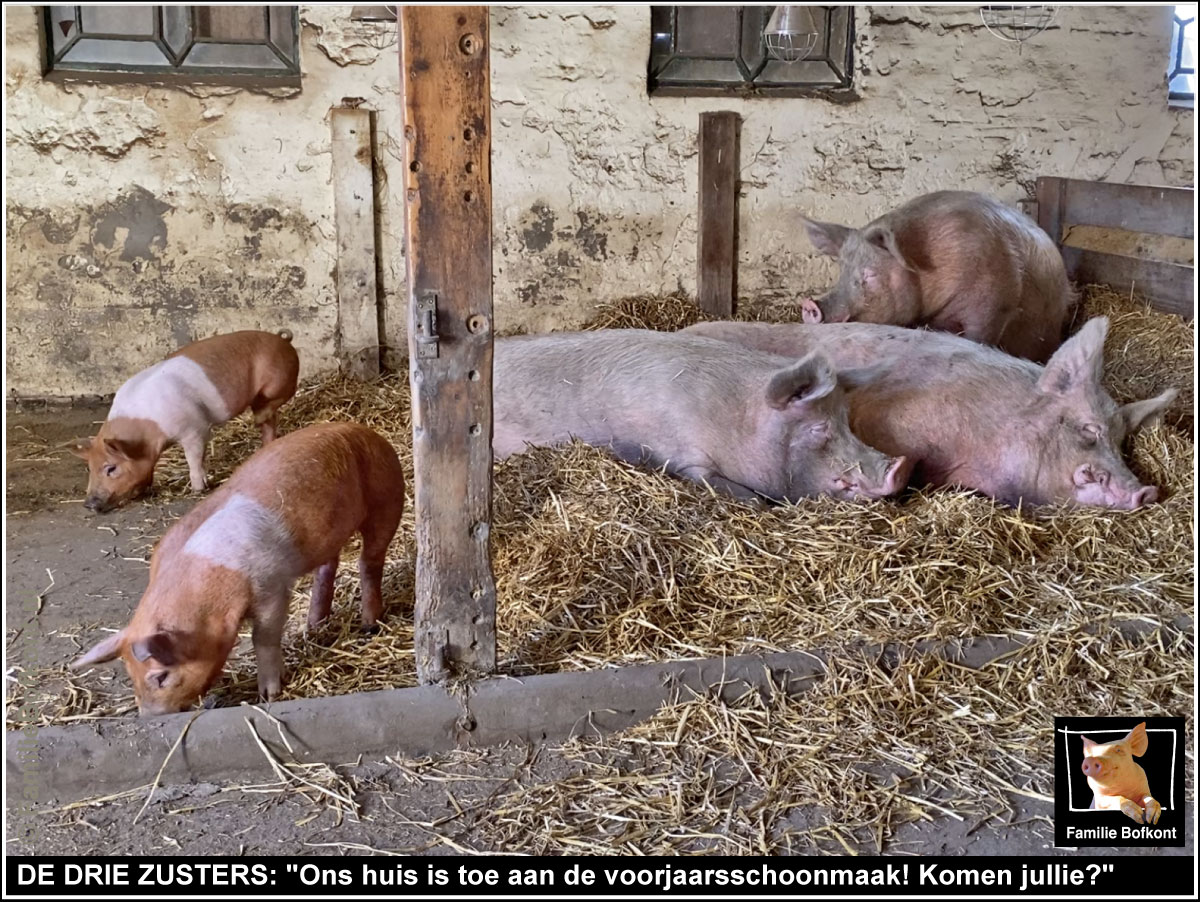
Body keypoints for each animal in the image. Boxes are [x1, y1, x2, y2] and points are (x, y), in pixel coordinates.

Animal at [492, 328, 912, 503]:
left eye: (847, 422)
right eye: (819, 428)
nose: (902, 466)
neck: (737, 419)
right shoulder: (685, 459)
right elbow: (747, 497)